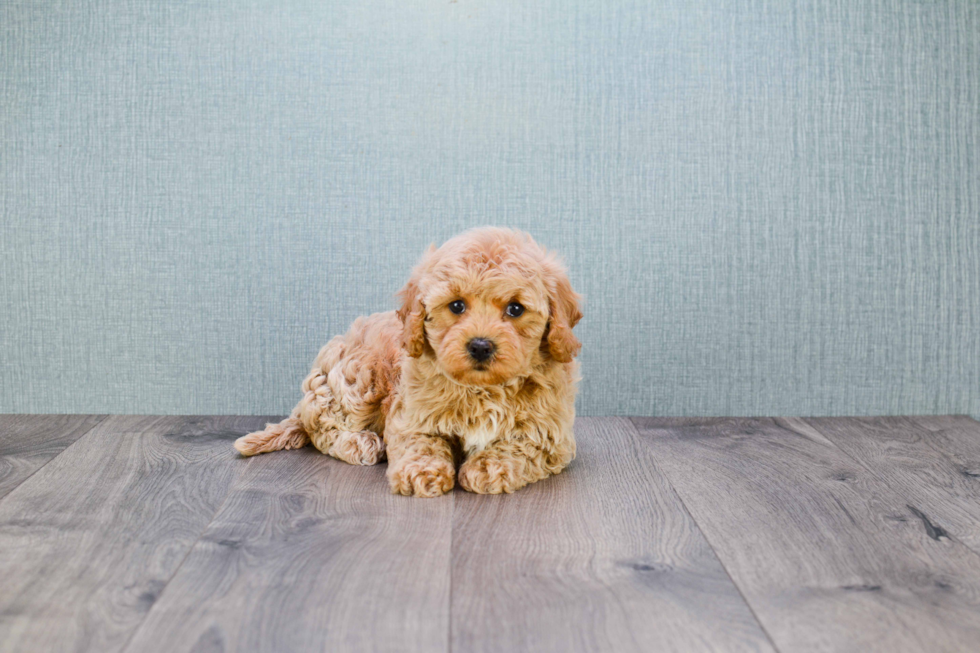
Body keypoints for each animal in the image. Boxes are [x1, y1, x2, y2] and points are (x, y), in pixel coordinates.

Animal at [236, 227, 580, 496]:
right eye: (457, 306)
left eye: (516, 309)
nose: (481, 346)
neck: (483, 388)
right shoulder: (410, 416)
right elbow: (421, 443)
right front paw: (422, 473)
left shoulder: (550, 434)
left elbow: (519, 445)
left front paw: (488, 467)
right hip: (359, 378)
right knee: (323, 429)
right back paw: (360, 443)